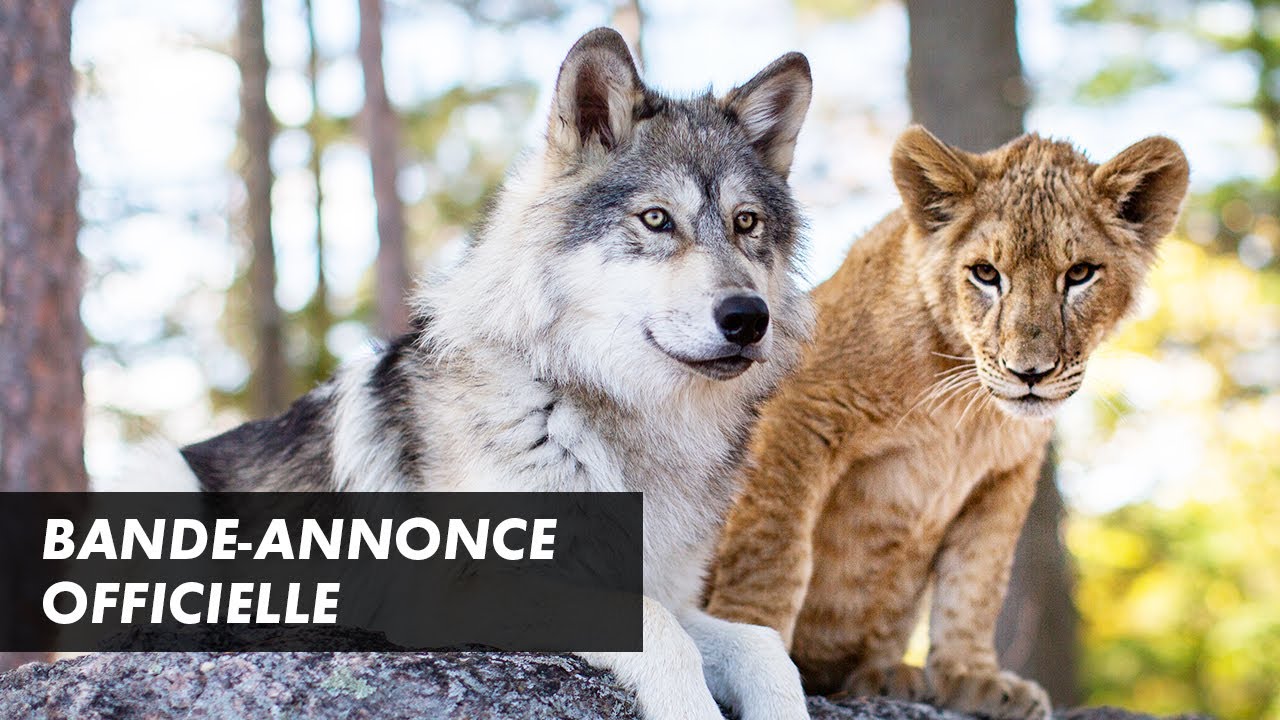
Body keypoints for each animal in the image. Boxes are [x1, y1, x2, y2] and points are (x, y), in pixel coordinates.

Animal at [171, 28, 815, 720]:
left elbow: (764, 648)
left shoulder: (671, 590)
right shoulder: (460, 588)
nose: (749, 317)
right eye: (656, 219)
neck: (615, 415)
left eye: (746, 223)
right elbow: (661, 632)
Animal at [705, 125, 1189, 718]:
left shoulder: (1007, 474)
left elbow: (977, 581)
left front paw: (971, 678)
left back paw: (886, 676)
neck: (969, 410)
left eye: (1079, 275)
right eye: (985, 274)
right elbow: (773, 548)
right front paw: (755, 648)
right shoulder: (798, 414)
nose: (1030, 373)